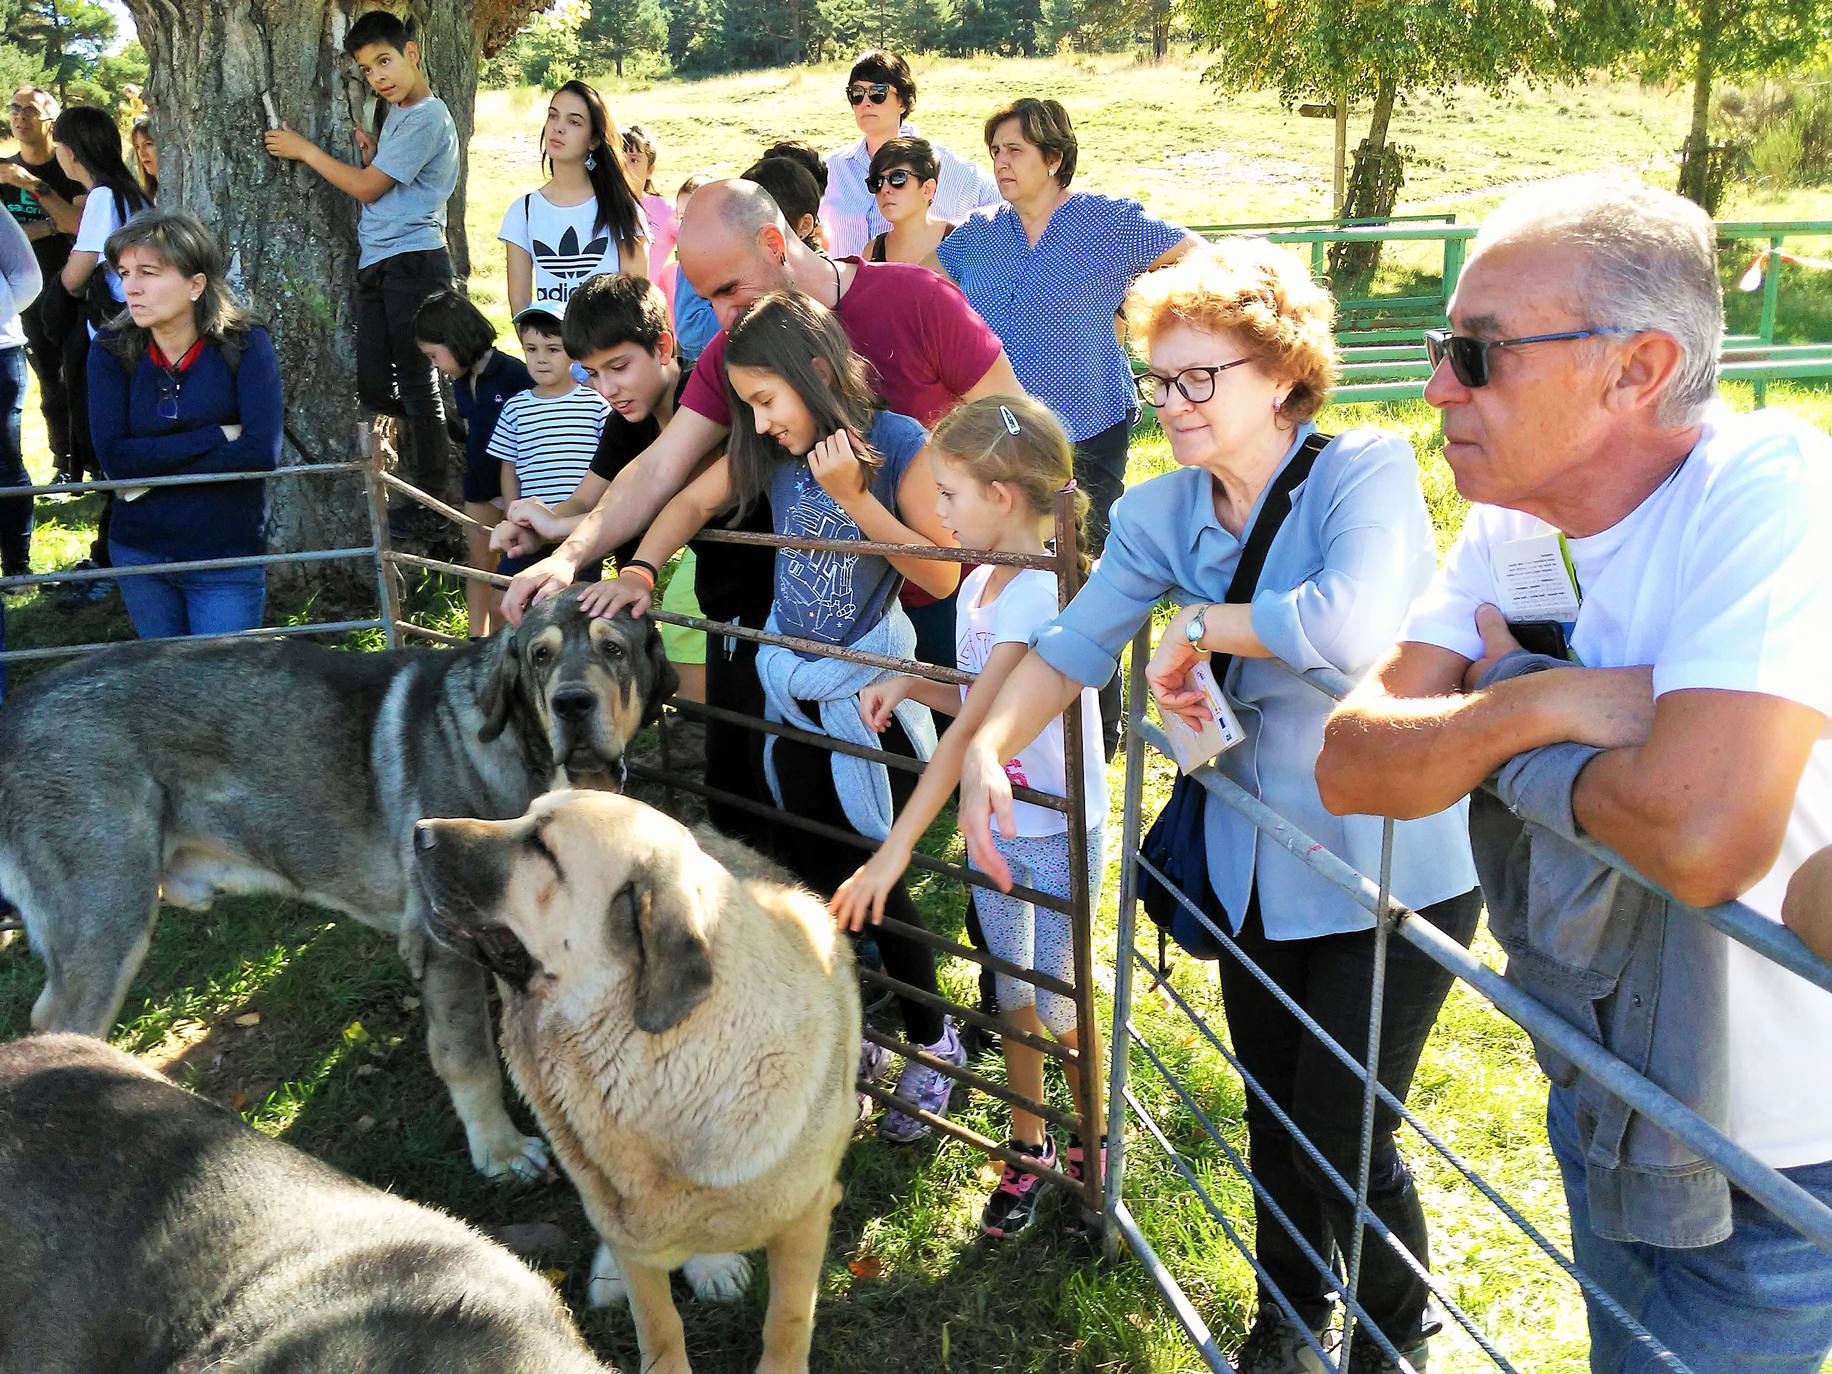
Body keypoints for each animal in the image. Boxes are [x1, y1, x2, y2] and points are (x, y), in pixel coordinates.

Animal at [0, 593, 674, 1187]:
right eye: (540, 655)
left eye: (613, 649)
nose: (572, 703)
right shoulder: (444, 943)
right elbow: (471, 1056)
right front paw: (501, 1151)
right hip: (109, 917)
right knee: (56, 1023)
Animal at [415, 791, 857, 1374]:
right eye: (522, 814)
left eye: (542, 847)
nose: (418, 832)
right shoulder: (630, 1227)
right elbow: (659, 1327)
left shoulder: (806, 1219)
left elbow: (787, 1318)